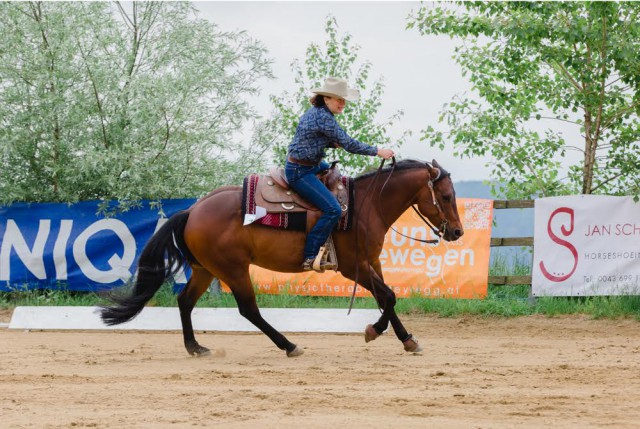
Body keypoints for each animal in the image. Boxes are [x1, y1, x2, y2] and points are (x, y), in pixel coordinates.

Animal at [102, 159, 468, 356]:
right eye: (446, 196)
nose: (457, 232)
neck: (365, 205)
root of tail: (192, 210)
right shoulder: (354, 268)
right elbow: (389, 297)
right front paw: (374, 331)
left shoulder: (372, 263)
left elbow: (387, 299)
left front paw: (407, 339)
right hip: (233, 269)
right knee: (248, 310)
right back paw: (289, 345)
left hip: (205, 269)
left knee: (184, 302)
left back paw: (195, 347)